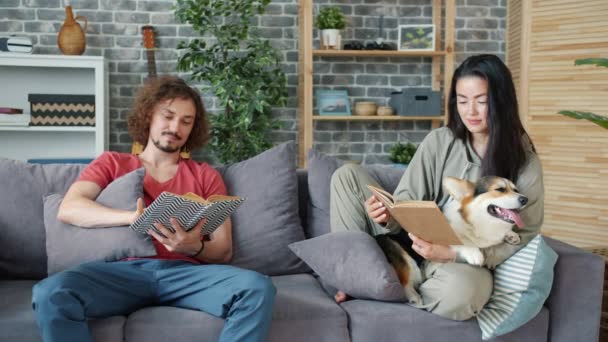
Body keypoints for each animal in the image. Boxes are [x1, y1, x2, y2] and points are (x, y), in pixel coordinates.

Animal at [376, 176, 528, 304]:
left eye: (516, 190)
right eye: (500, 189)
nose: (525, 199)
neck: (478, 223)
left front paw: (511, 234)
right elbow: (461, 240)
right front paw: (474, 253)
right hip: (403, 256)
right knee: (405, 280)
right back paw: (415, 298)